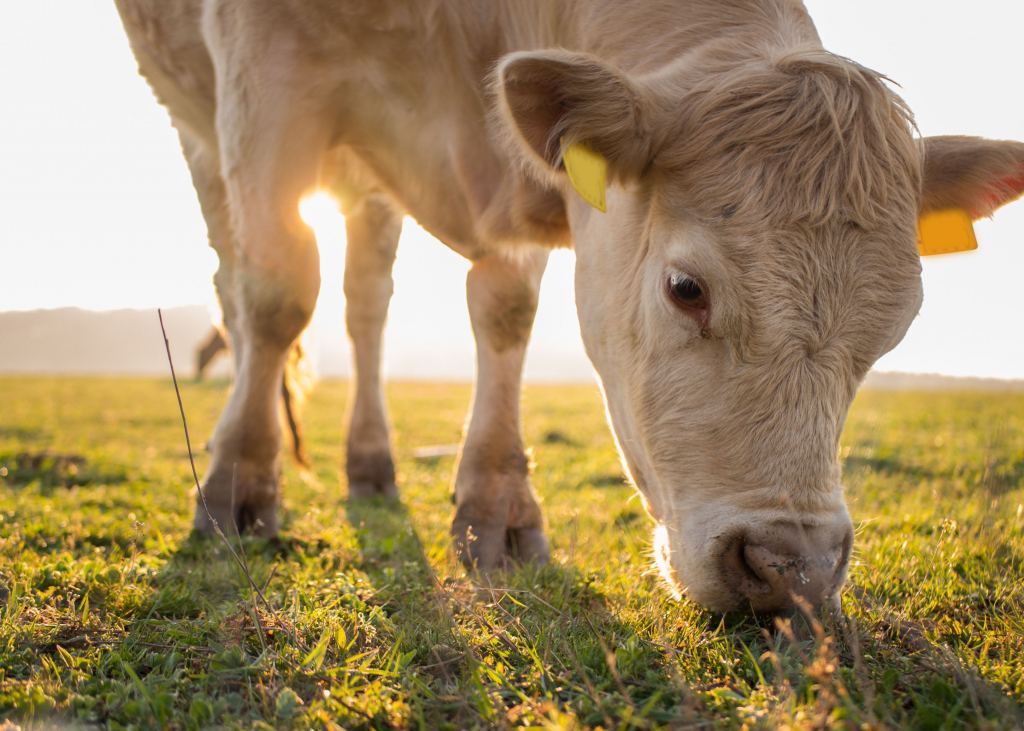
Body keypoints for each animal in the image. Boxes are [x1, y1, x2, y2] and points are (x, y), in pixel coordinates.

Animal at [114, 0, 1024, 610]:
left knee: (367, 300)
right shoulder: (261, 67)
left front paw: (496, 508)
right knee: (241, 283)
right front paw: (237, 486)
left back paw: (371, 462)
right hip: (199, 122)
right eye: (686, 288)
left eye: (895, 327)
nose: (790, 567)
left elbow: (504, 310)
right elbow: (276, 292)